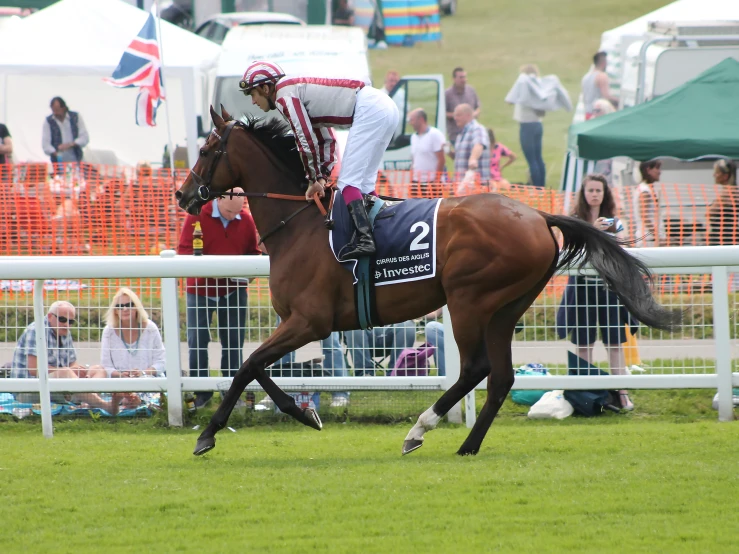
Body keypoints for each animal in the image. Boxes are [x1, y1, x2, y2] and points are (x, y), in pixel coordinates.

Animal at [175, 105, 684, 454]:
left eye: (205, 149)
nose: (182, 195)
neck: (298, 223)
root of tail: (537, 216)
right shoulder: (298, 323)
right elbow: (256, 367)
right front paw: (304, 414)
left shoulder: (309, 320)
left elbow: (246, 367)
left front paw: (208, 433)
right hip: (507, 308)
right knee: (501, 376)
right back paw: (467, 445)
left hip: (469, 300)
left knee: (476, 369)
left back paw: (420, 428)